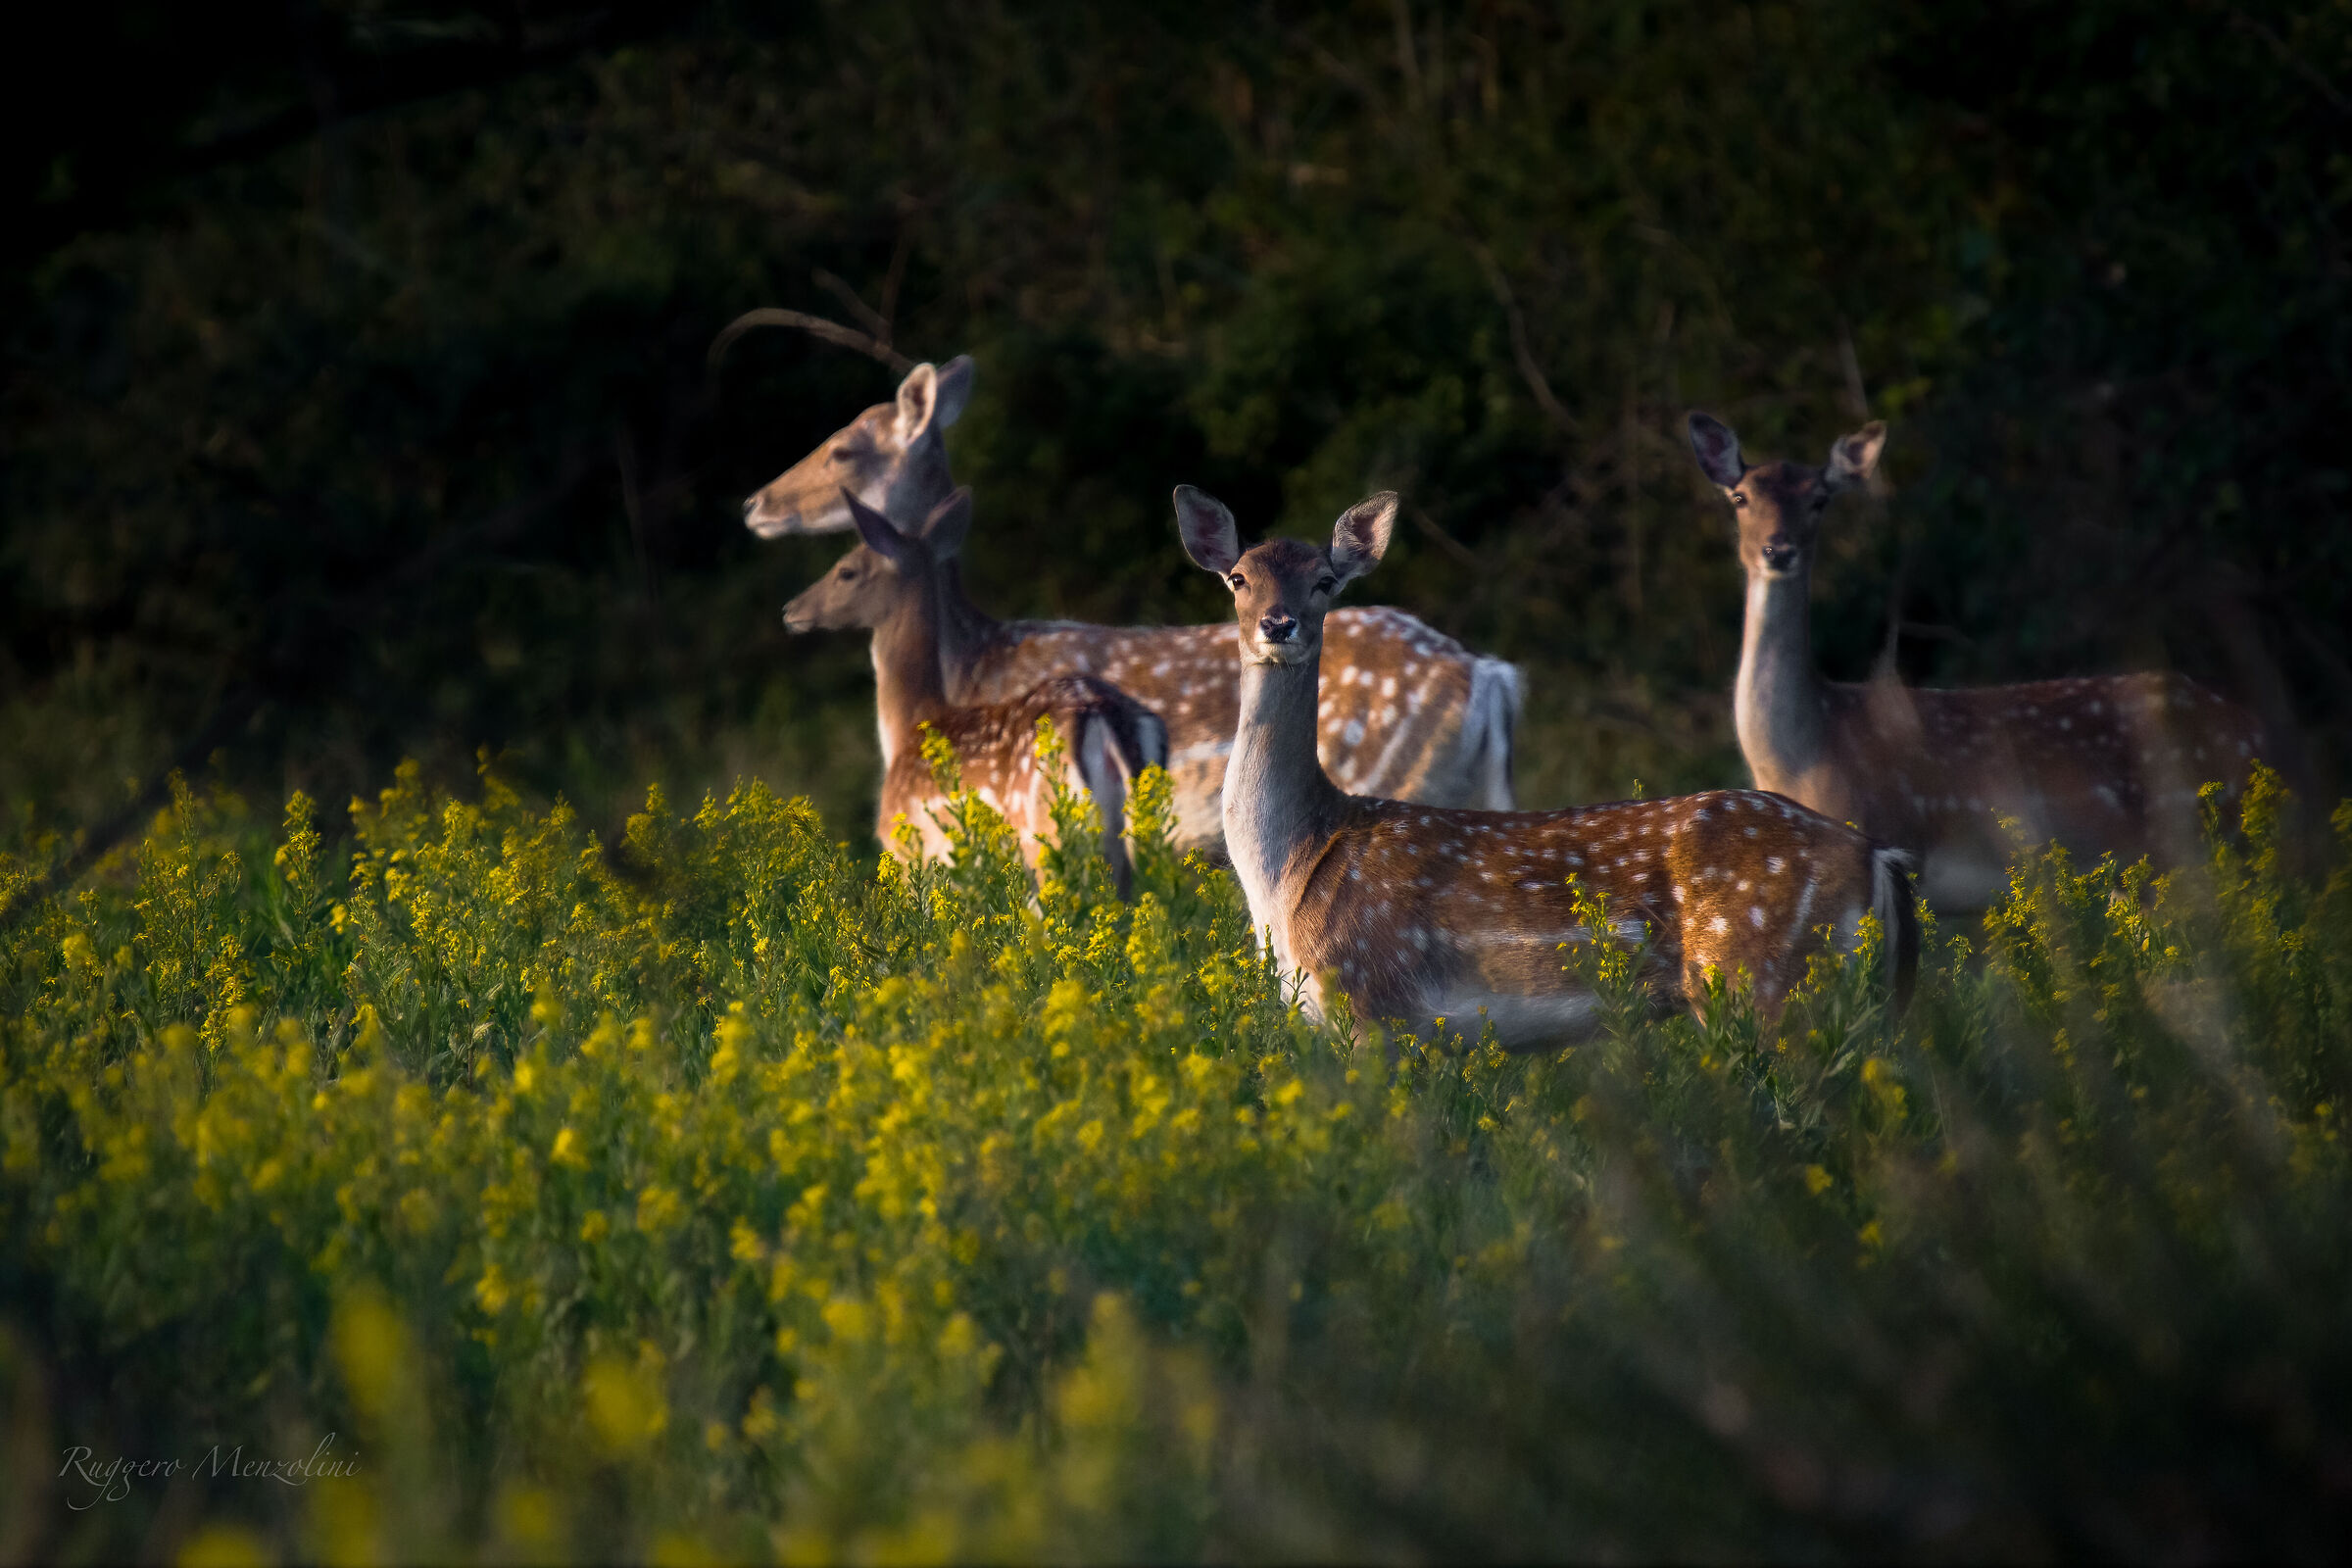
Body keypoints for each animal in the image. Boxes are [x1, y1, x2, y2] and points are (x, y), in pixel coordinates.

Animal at [784, 486, 1169, 896]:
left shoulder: (909, 852)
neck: (909, 725)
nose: (792, 609)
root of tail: (1098, 711)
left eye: (846, 571)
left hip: (1044, 829)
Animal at [1173, 485, 1919, 1047]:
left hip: (1763, 978)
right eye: (1238, 578)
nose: (1278, 624)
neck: (1291, 873)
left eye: (1325, 581)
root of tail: (1876, 858)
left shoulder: (1371, 1003)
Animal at [1685, 412, 2265, 911]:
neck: (1802, 759)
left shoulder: (1901, 841)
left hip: (2194, 838)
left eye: (1820, 500)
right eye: (1740, 497)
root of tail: (2253, 734)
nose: (1778, 550)